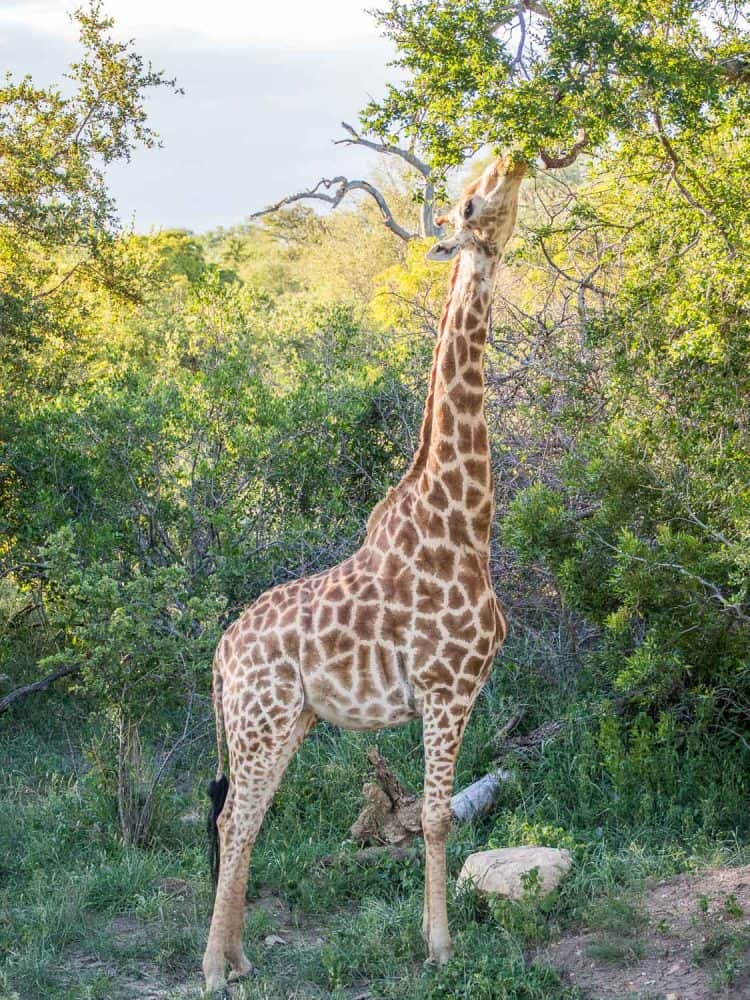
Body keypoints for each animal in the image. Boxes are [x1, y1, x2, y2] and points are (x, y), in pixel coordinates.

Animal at [203, 156, 524, 992]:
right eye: (471, 203)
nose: (513, 158)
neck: (464, 524)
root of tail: (217, 656)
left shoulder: (456, 691)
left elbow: (430, 816)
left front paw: (431, 937)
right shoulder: (446, 688)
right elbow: (436, 817)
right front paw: (440, 948)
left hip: (285, 720)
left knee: (245, 816)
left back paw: (240, 958)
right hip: (260, 719)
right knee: (234, 816)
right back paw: (213, 968)